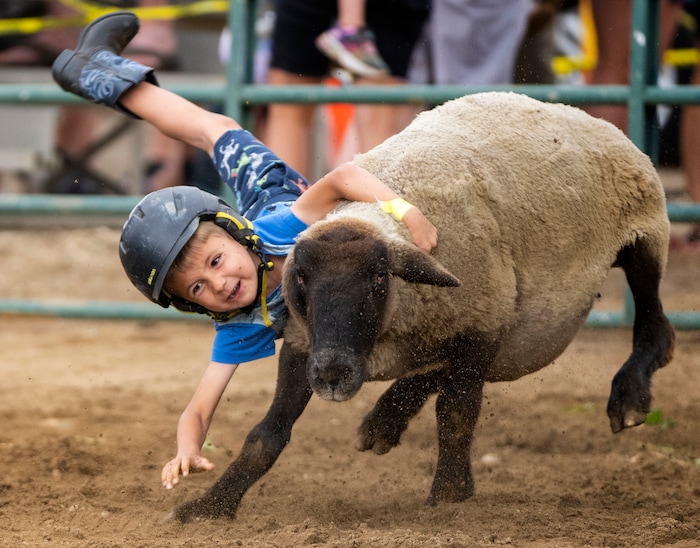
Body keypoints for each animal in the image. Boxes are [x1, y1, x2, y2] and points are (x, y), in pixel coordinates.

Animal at [170, 93, 672, 524]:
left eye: (377, 279)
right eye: (301, 284)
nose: (332, 376)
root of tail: (579, 113)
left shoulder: (482, 325)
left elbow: (456, 412)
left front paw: (449, 493)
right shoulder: (304, 343)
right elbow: (267, 433)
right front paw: (209, 507)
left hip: (640, 237)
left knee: (655, 319)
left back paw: (631, 394)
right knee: (434, 366)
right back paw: (384, 422)